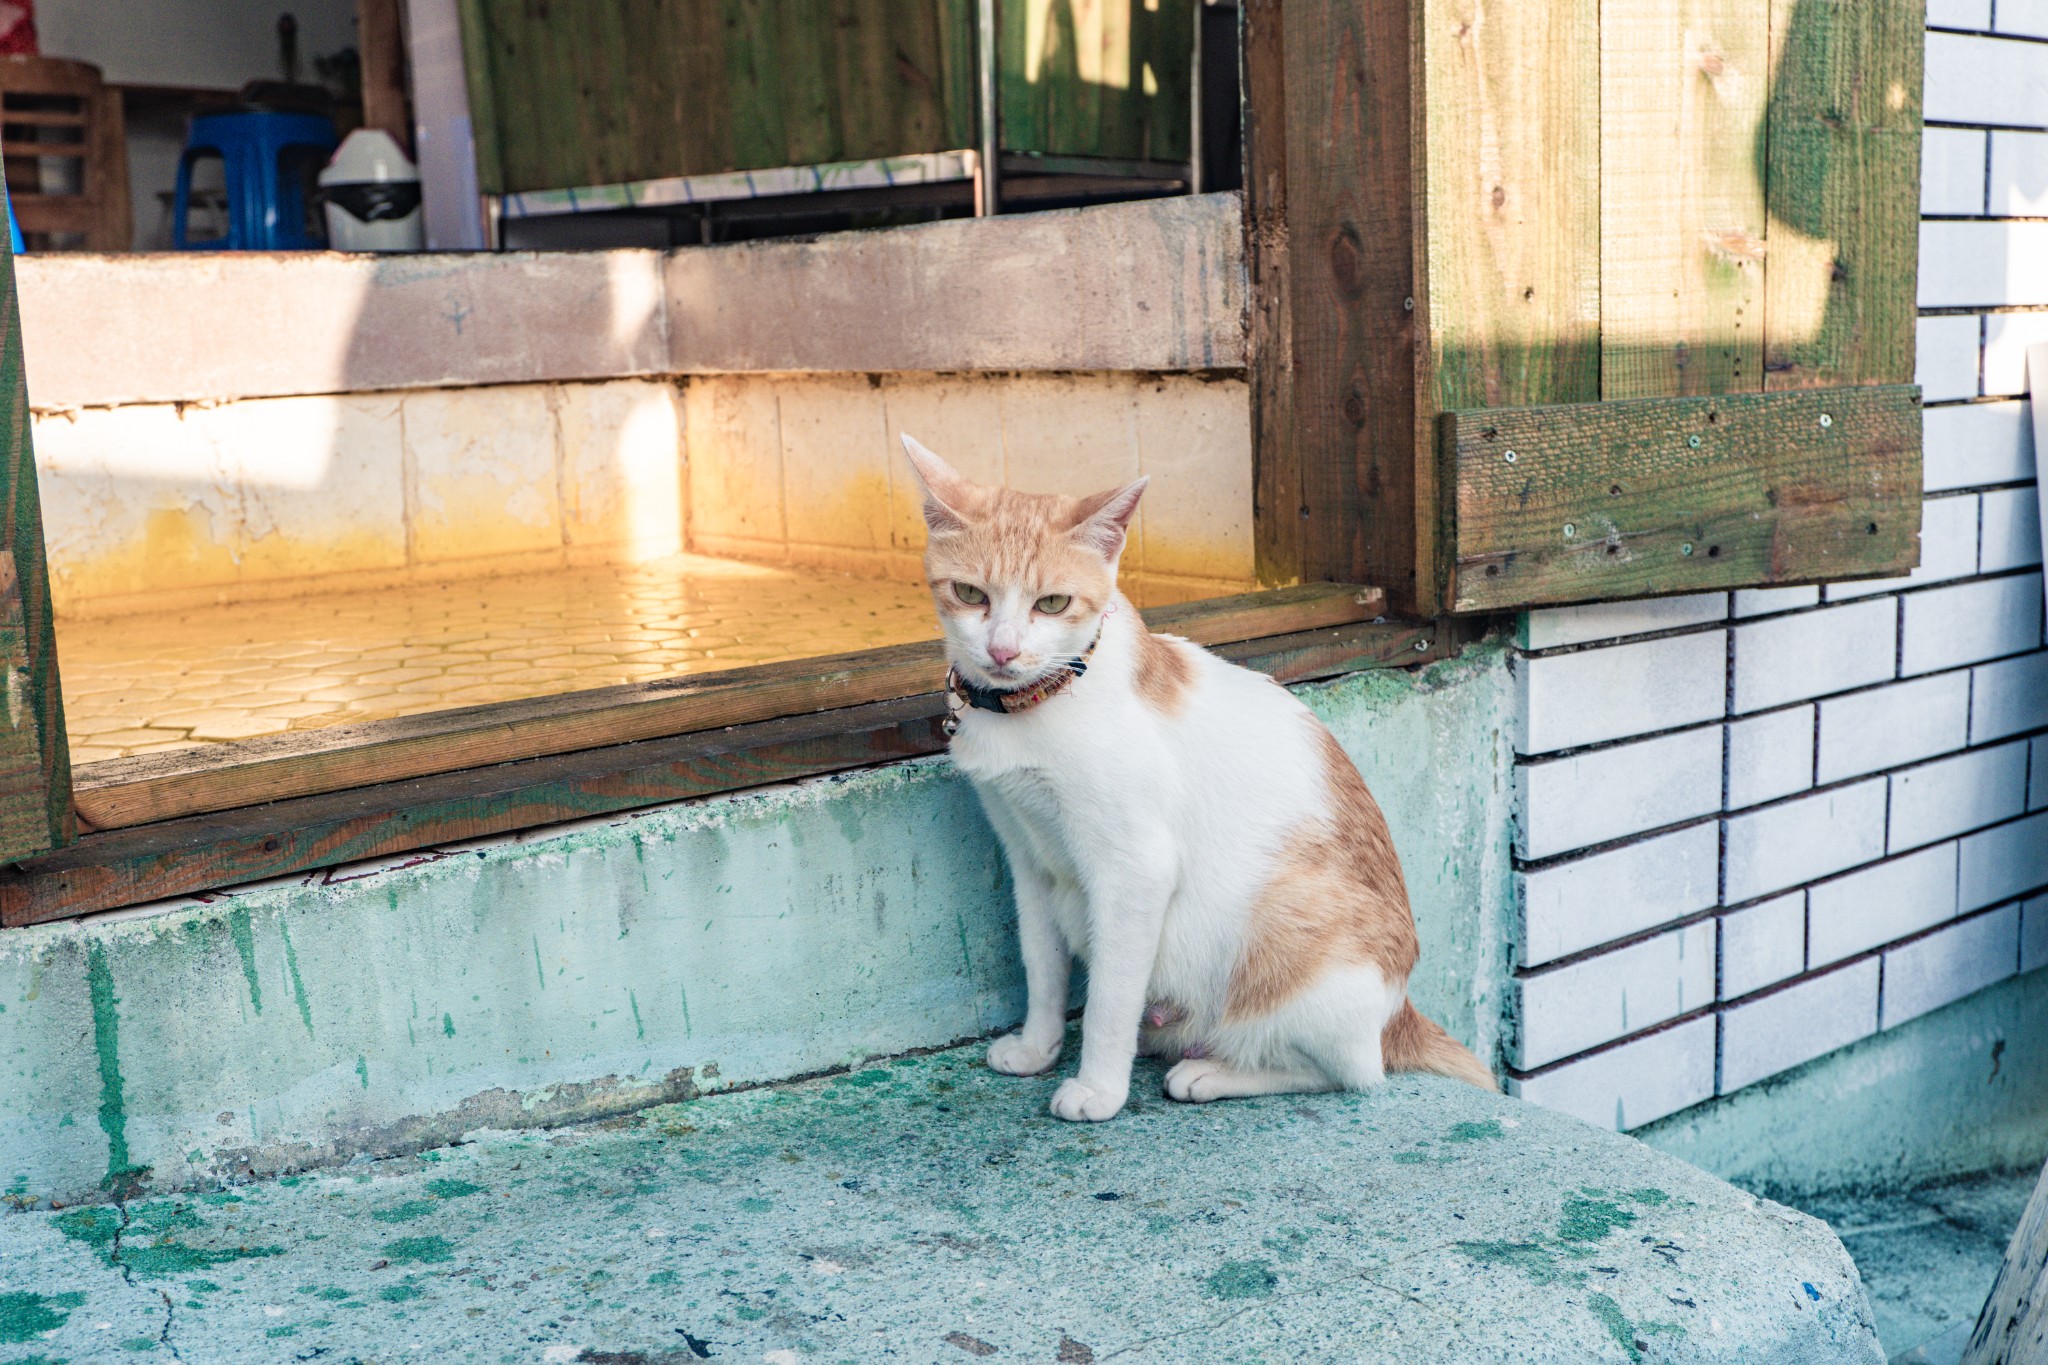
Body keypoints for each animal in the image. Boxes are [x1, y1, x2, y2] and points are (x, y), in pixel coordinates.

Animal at [905, 435, 1499, 1121]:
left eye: (1051, 602)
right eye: (971, 593)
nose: (1002, 651)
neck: (1038, 702)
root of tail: (1399, 1014)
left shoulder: (1136, 870)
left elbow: (1109, 998)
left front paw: (1099, 1089)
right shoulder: (1029, 859)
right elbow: (1043, 969)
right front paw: (1037, 1049)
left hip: (1282, 922)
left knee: (1348, 1072)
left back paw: (1213, 1074)